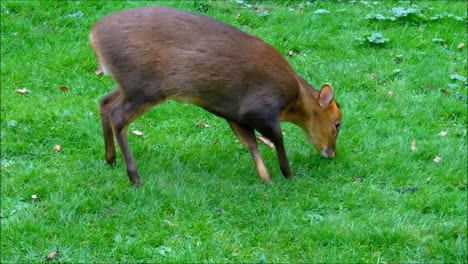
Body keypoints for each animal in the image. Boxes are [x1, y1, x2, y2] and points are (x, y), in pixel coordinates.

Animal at [89, 5, 342, 186]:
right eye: (337, 124)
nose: (332, 153)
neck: (294, 99)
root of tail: (93, 35)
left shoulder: (232, 113)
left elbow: (250, 143)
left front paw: (266, 179)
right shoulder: (260, 108)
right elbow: (276, 138)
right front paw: (287, 174)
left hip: (130, 86)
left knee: (104, 102)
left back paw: (110, 159)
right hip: (145, 87)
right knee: (118, 118)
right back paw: (134, 177)